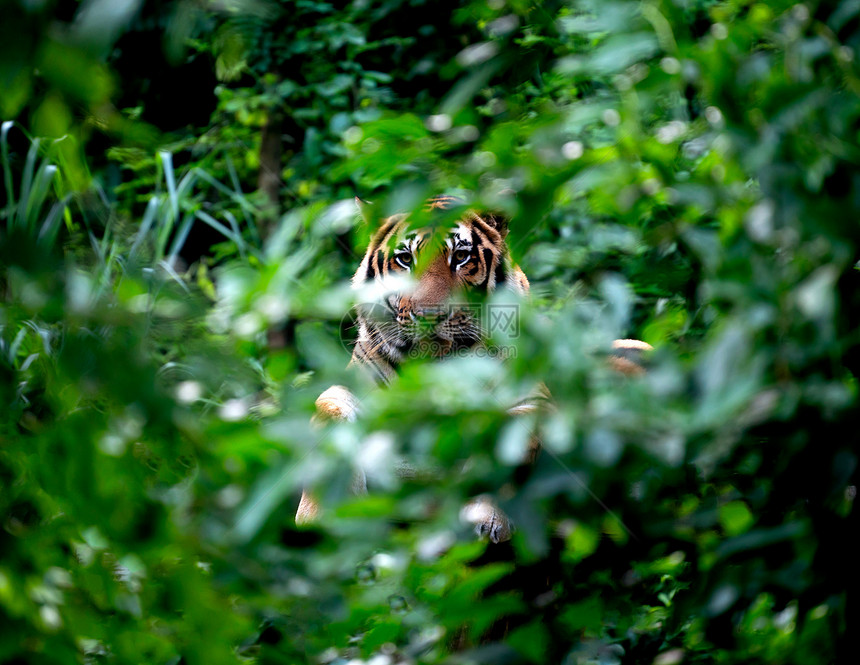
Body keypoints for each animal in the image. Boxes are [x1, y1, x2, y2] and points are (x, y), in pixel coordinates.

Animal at [298, 195, 652, 544]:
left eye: (461, 256)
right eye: (405, 259)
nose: (428, 316)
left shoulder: (533, 400)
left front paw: (485, 518)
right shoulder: (348, 388)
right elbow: (328, 419)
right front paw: (317, 515)